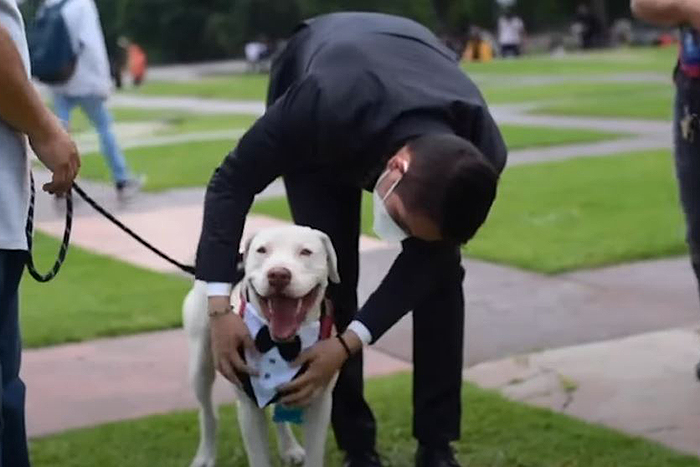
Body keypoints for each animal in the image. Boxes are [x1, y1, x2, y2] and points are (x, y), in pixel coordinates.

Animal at [183, 227, 342, 467]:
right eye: (262, 250)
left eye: (305, 252)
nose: (278, 275)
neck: (280, 344)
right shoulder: (248, 409)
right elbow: (258, 455)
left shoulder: (319, 402)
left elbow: (314, 455)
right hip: (200, 365)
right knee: (207, 412)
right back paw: (205, 455)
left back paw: (289, 447)